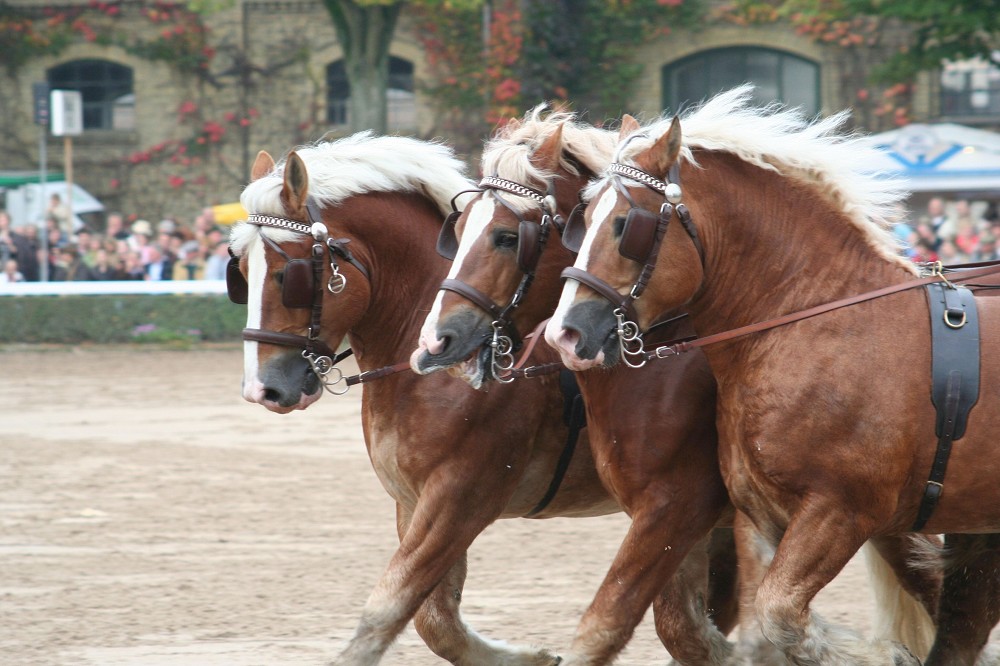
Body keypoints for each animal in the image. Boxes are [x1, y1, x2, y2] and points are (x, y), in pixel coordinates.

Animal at [230, 132, 740, 660]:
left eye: (287, 274)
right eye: (241, 270)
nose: (262, 387)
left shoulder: (460, 496)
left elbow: (390, 607)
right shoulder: (413, 502)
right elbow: (436, 621)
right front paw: (530, 657)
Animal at [548, 85, 1000, 660]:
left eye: (626, 225)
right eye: (580, 220)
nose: (566, 333)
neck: (816, 320)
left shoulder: (838, 511)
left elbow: (778, 613)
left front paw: (884, 654)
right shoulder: (760, 515)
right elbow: (764, 622)